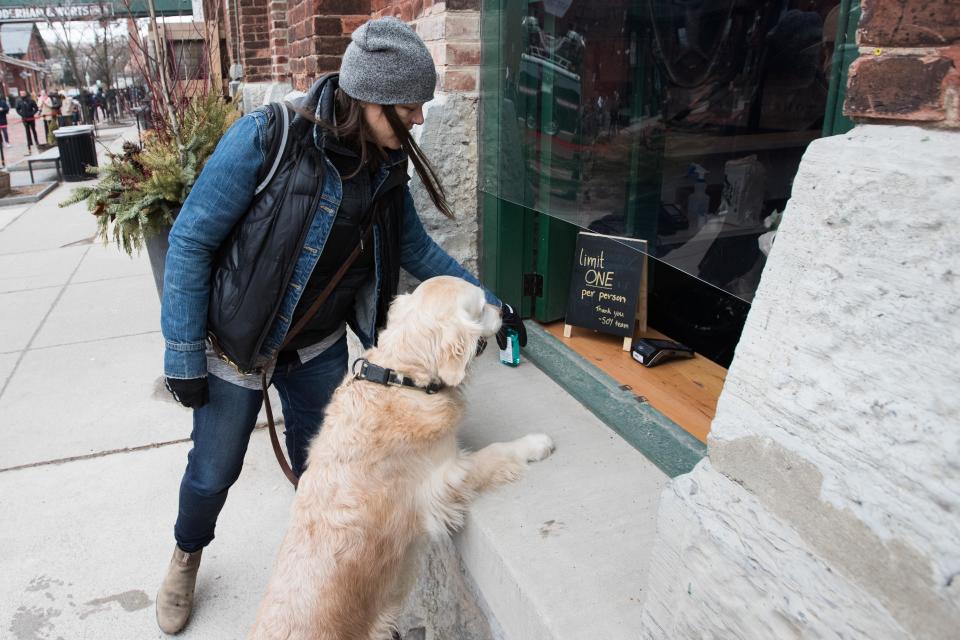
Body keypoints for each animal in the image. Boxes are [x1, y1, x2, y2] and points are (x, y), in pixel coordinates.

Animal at [248, 276, 556, 640]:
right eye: (481, 308)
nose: (504, 309)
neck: (400, 379)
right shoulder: (444, 478)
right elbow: (495, 452)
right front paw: (536, 443)